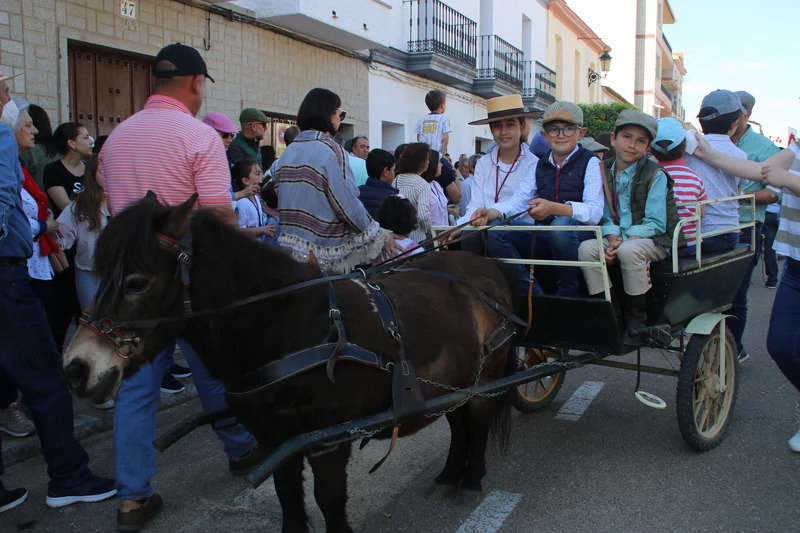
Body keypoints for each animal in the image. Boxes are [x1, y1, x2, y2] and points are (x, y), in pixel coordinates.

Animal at [61, 194, 512, 532]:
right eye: (99, 271)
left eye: (137, 282)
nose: (76, 368)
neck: (283, 325)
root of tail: (485, 267)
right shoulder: (276, 440)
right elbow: (289, 498)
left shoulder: (328, 440)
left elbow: (328, 500)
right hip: (455, 383)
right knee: (459, 425)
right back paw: (449, 476)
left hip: (485, 378)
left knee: (478, 422)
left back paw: (471, 480)